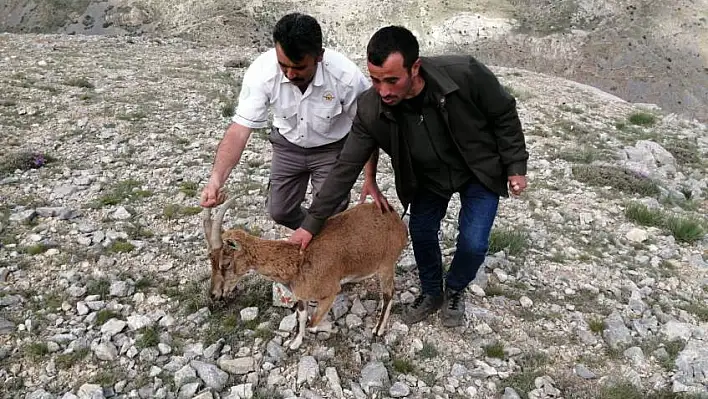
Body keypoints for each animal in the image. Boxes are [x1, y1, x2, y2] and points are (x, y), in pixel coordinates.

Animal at [202, 197, 406, 350]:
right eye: (209, 260)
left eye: (226, 263)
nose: (213, 294)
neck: (297, 262)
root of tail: (396, 218)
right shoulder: (301, 296)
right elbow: (301, 317)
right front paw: (294, 343)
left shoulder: (331, 291)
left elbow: (313, 323)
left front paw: (329, 329)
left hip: (386, 265)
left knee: (389, 293)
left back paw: (378, 329)